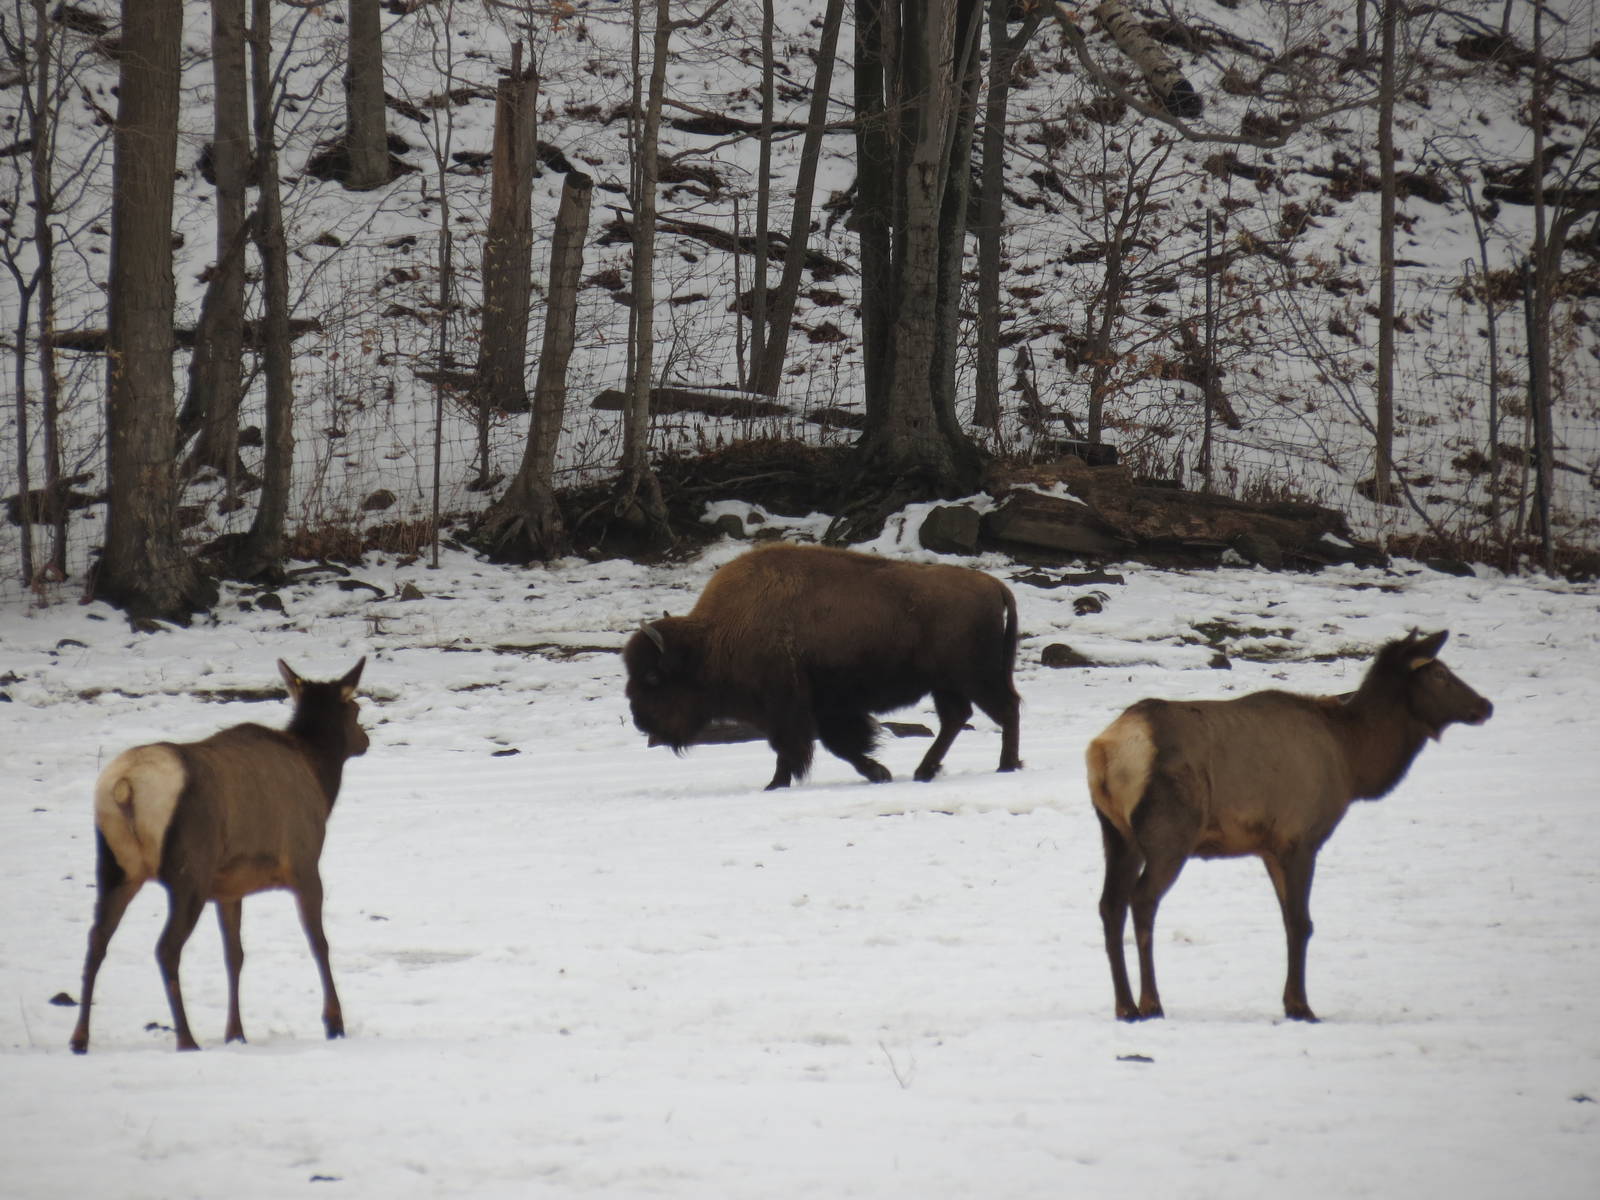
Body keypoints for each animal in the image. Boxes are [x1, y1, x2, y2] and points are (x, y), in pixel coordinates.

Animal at [623, 543, 1022, 789]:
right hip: (948, 683)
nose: (641, 722)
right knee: (957, 718)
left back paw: (1006, 765)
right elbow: (836, 745)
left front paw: (775, 784)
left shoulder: (790, 708)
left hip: (975, 676)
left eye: (653, 676)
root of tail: (994, 584)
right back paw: (925, 771)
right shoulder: (824, 708)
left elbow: (796, 747)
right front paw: (879, 772)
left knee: (1005, 709)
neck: (714, 638)